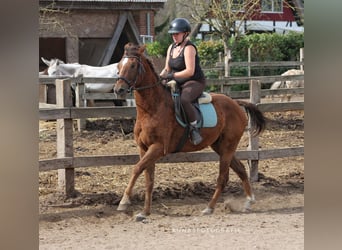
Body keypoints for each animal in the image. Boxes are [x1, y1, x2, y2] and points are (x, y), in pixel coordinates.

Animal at [113, 42, 266, 221]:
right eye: (118, 65)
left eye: (133, 65)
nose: (118, 90)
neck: (151, 109)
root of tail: (236, 103)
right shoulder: (144, 148)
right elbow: (148, 179)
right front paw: (144, 212)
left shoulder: (158, 148)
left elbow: (137, 168)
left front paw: (124, 202)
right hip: (220, 146)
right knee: (240, 169)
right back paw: (249, 201)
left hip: (228, 146)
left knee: (223, 178)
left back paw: (209, 208)